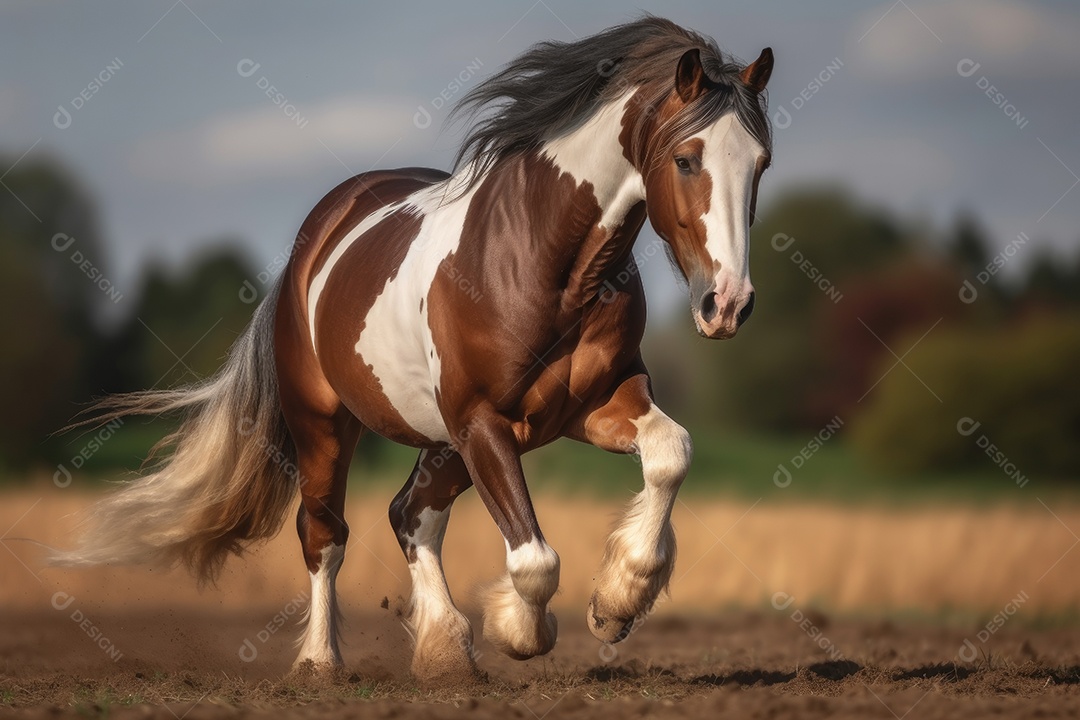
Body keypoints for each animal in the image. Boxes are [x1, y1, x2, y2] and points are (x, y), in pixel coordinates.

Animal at [52, 17, 773, 683]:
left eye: (761, 163)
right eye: (687, 159)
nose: (728, 304)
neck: (547, 266)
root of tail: (311, 245)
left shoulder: (594, 406)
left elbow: (671, 453)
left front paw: (618, 602)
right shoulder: (484, 422)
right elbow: (534, 559)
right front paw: (520, 632)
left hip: (443, 440)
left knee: (409, 514)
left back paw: (444, 649)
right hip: (327, 425)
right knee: (325, 535)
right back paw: (321, 661)